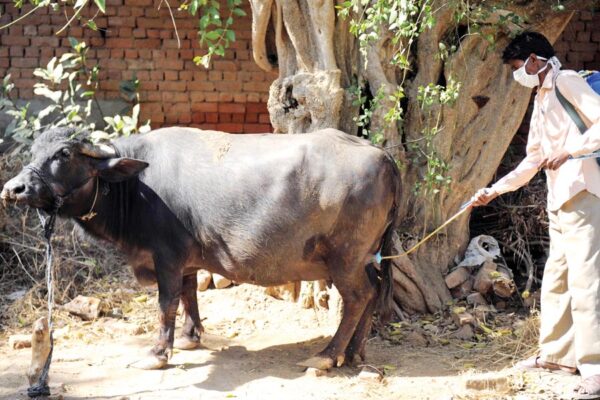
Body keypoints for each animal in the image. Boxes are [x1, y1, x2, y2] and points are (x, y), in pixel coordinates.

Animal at [2, 126, 404, 370]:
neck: (136, 186)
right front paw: (189, 336)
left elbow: (166, 302)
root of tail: (382, 155)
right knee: (373, 290)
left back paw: (327, 355)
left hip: (345, 257)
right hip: (365, 256)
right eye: (35, 151)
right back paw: (354, 352)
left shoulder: (166, 255)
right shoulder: (188, 260)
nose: (13, 188)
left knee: (358, 296)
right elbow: (189, 292)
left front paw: (157, 352)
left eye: (64, 154)